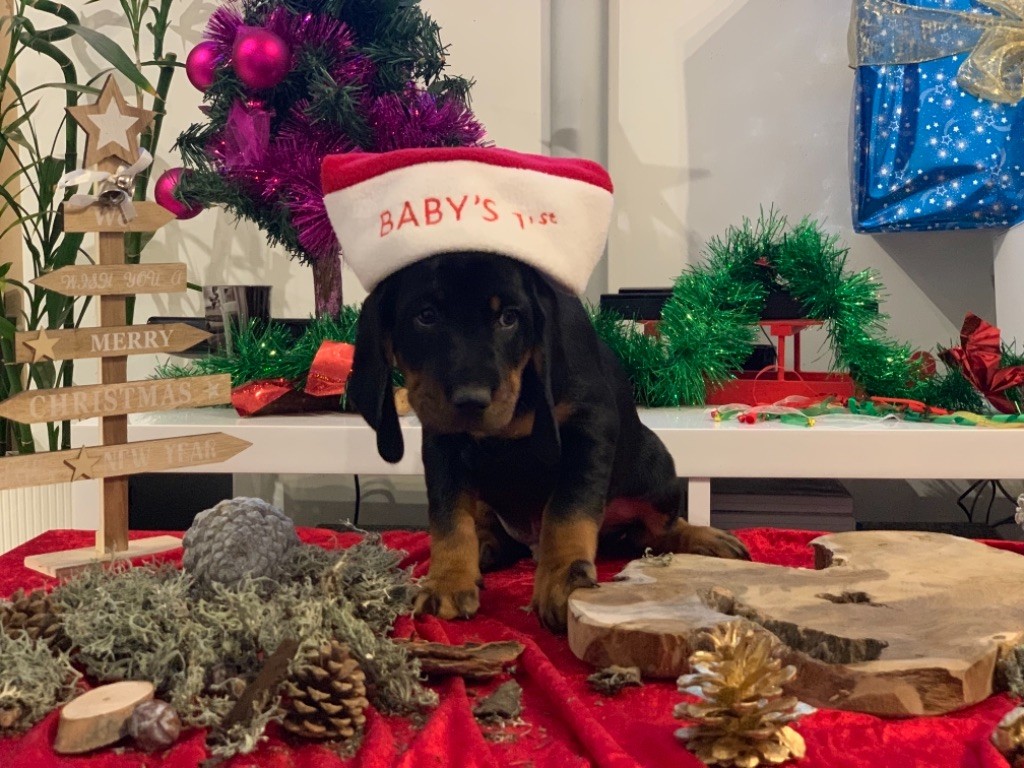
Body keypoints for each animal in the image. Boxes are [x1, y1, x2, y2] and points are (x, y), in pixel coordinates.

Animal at [349, 250, 749, 632]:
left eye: (509, 318)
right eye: (426, 316)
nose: (471, 400)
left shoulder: (588, 426)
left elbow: (567, 509)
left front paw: (561, 579)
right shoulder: (442, 442)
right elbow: (448, 517)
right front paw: (447, 581)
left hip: (658, 473)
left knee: (656, 533)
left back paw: (707, 538)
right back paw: (486, 545)